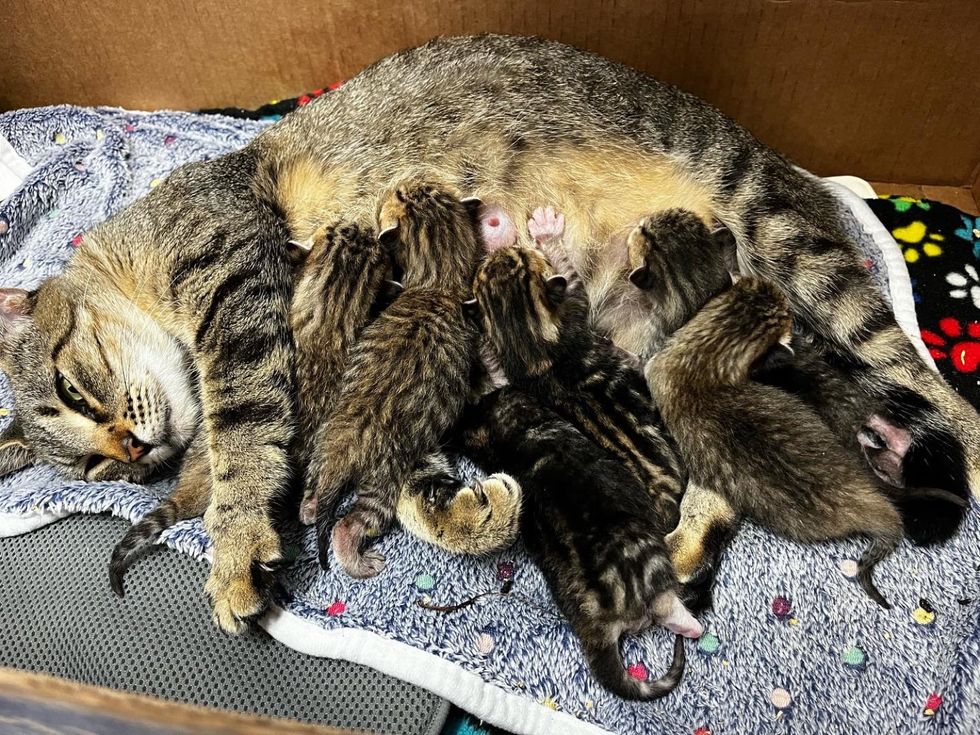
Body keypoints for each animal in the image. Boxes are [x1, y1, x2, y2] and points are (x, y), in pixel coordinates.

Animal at [0, 34, 972, 632]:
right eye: (93, 471)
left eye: (73, 386)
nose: (131, 455)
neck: (135, 249)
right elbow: (390, 482)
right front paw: (456, 510)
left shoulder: (239, 286)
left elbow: (245, 441)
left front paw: (235, 551)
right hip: (678, 353)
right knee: (716, 460)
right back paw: (680, 549)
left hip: (777, 225)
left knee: (936, 390)